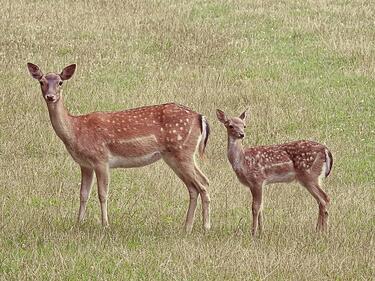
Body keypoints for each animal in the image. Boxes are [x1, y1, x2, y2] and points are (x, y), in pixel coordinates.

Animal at [26, 63, 212, 232]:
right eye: (41, 82)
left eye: (60, 82)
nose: (50, 96)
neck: (76, 130)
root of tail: (200, 117)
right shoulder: (85, 164)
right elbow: (83, 194)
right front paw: (78, 223)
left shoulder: (101, 159)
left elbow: (102, 194)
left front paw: (105, 225)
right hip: (178, 155)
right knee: (197, 185)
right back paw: (187, 227)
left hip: (182, 151)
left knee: (202, 186)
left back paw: (206, 226)